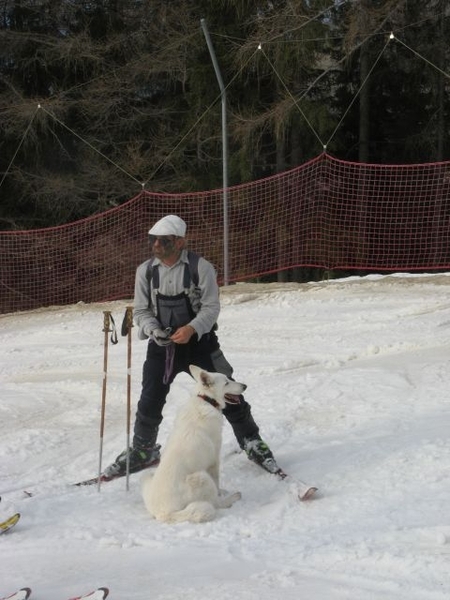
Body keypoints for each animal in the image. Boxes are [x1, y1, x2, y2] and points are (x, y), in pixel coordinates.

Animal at [141, 364, 246, 524]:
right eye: (227, 382)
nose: (245, 386)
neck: (206, 400)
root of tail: (163, 514)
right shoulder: (214, 460)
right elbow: (217, 483)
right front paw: (221, 492)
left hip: (147, 475)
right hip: (202, 477)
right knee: (215, 504)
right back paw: (233, 497)